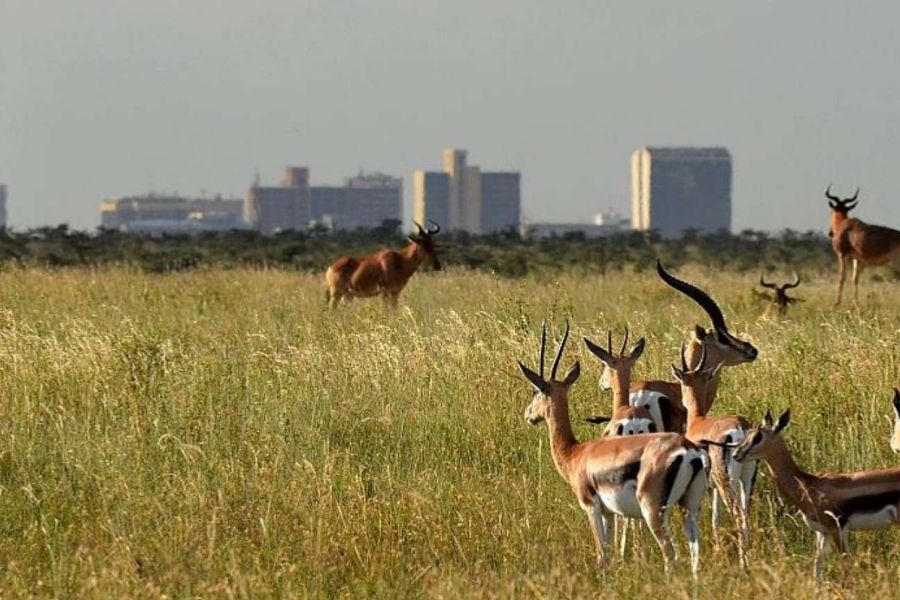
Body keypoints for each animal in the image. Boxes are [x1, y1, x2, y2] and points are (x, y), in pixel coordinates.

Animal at [520, 322, 712, 576]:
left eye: (535, 391)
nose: (528, 415)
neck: (577, 453)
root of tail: (687, 451)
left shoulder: (591, 507)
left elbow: (602, 554)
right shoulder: (609, 513)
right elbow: (609, 552)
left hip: (653, 511)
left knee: (671, 554)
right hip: (690, 508)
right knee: (695, 554)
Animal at [672, 342, 756, 564]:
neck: (698, 421)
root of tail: (741, 426)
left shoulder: (708, 487)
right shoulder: (713, 487)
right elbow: (716, 517)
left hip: (726, 481)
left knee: (738, 515)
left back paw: (743, 563)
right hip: (746, 480)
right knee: (746, 514)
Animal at [736, 410, 900, 580]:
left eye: (757, 437)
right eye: (748, 433)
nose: (736, 454)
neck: (808, 485)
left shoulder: (837, 529)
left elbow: (846, 564)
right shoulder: (823, 533)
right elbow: (817, 567)